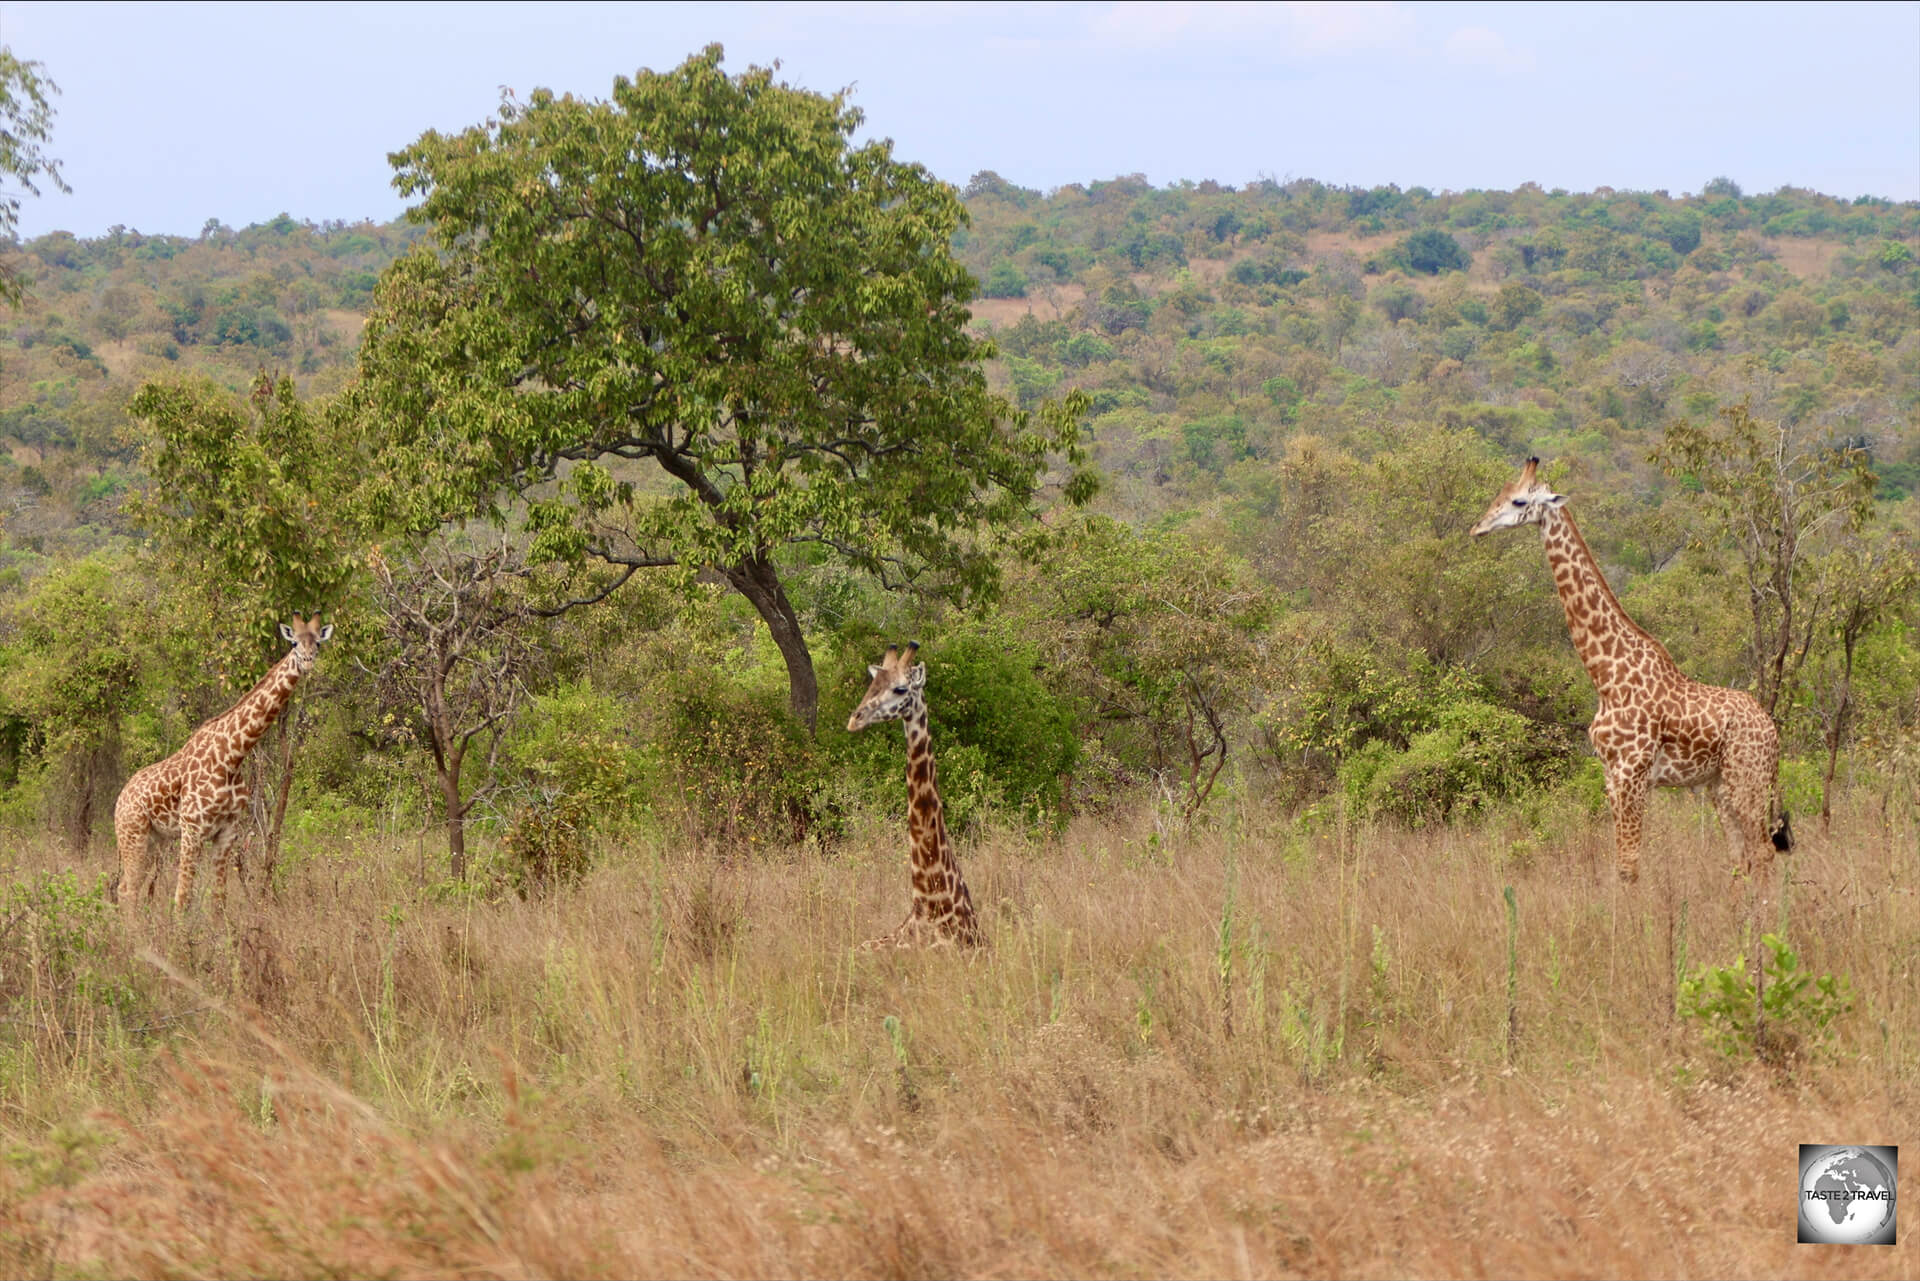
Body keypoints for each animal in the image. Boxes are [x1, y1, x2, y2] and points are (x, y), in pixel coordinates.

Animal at [116, 614, 336, 910]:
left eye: (318, 643)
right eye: (293, 642)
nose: (308, 660)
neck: (232, 756)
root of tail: (119, 801)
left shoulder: (227, 832)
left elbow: (218, 899)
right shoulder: (192, 830)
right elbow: (182, 898)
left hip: (154, 840)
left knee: (126, 888)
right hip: (133, 835)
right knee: (129, 890)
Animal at [1474, 455, 1789, 887]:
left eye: (1519, 501)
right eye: (1501, 493)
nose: (1478, 528)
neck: (1605, 674)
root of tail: (1772, 731)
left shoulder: (1632, 775)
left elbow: (1629, 867)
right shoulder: (1611, 776)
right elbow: (1621, 864)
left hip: (1748, 779)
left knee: (1763, 852)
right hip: (1720, 786)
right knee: (1742, 858)